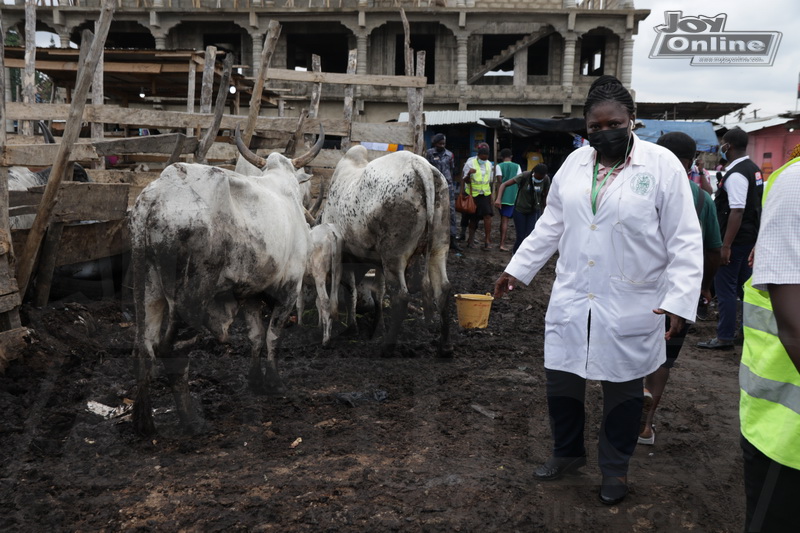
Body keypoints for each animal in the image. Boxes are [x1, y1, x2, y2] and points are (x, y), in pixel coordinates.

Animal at [130, 127, 324, 434]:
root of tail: (157, 195)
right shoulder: (289, 290)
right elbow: (272, 337)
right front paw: (275, 382)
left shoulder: (251, 294)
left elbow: (256, 336)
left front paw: (255, 380)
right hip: (191, 297)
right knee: (173, 350)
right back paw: (191, 420)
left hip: (147, 286)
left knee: (144, 347)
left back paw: (144, 422)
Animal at [320, 143, 456, 356]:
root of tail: (419, 164)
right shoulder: (378, 262)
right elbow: (379, 292)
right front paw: (378, 327)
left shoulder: (346, 256)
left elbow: (351, 291)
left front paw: (352, 328)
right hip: (438, 247)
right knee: (442, 288)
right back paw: (446, 347)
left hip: (394, 255)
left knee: (400, 294)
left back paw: (387, 347)